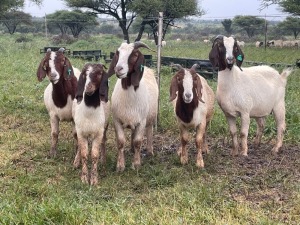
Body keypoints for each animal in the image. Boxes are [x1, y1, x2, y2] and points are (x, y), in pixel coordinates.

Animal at [106, 41, 158, 172]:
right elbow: (120, 142)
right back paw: (131, 149)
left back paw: (150, 151)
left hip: (150, 117)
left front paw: (136, 164)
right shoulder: (117, 120)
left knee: (149, 131)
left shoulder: (142, 122)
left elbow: (138, 142)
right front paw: (120, 165)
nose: (118, 68)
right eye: (118, 52)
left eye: (134, 54)